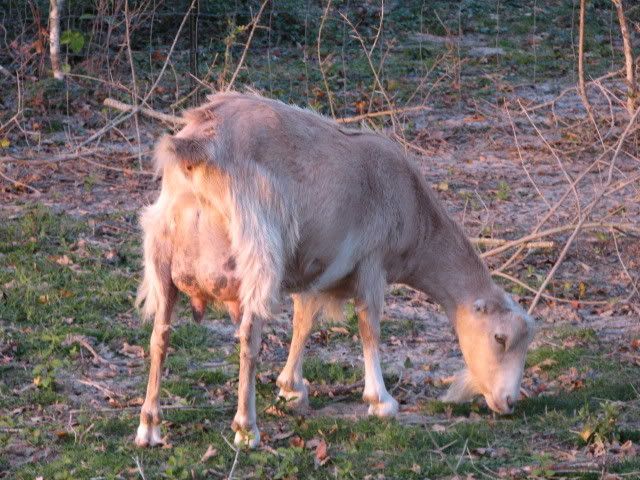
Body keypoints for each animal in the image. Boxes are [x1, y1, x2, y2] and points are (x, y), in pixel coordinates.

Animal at [135, 92, 535, 449]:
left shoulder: (318, 269)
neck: (414, 212)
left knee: (160, 337)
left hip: (162, 254)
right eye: (500, 338)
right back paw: (246, 429)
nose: (508, 402)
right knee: (248, 336)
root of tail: (197, 147)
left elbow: (304, 322)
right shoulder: (372, 262)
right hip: (259, 248)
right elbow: (369, 327)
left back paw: (149, 427)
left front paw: (291, 388)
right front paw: (381, 401)